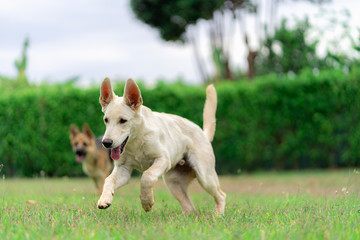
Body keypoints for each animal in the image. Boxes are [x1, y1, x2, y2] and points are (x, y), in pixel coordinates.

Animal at [95, 77, 225, 214]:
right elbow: (108, 180)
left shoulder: (163, 159)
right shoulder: (123, 169)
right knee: (190, 208)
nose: (106, 143)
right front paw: (105, 199)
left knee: (221, 195)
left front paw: (146, 201)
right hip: (174, 184)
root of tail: (203, 133)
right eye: (106, 120)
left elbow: (146, 176)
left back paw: (218, 215)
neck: (136, 142)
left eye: (123, 121)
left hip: (205, 177)